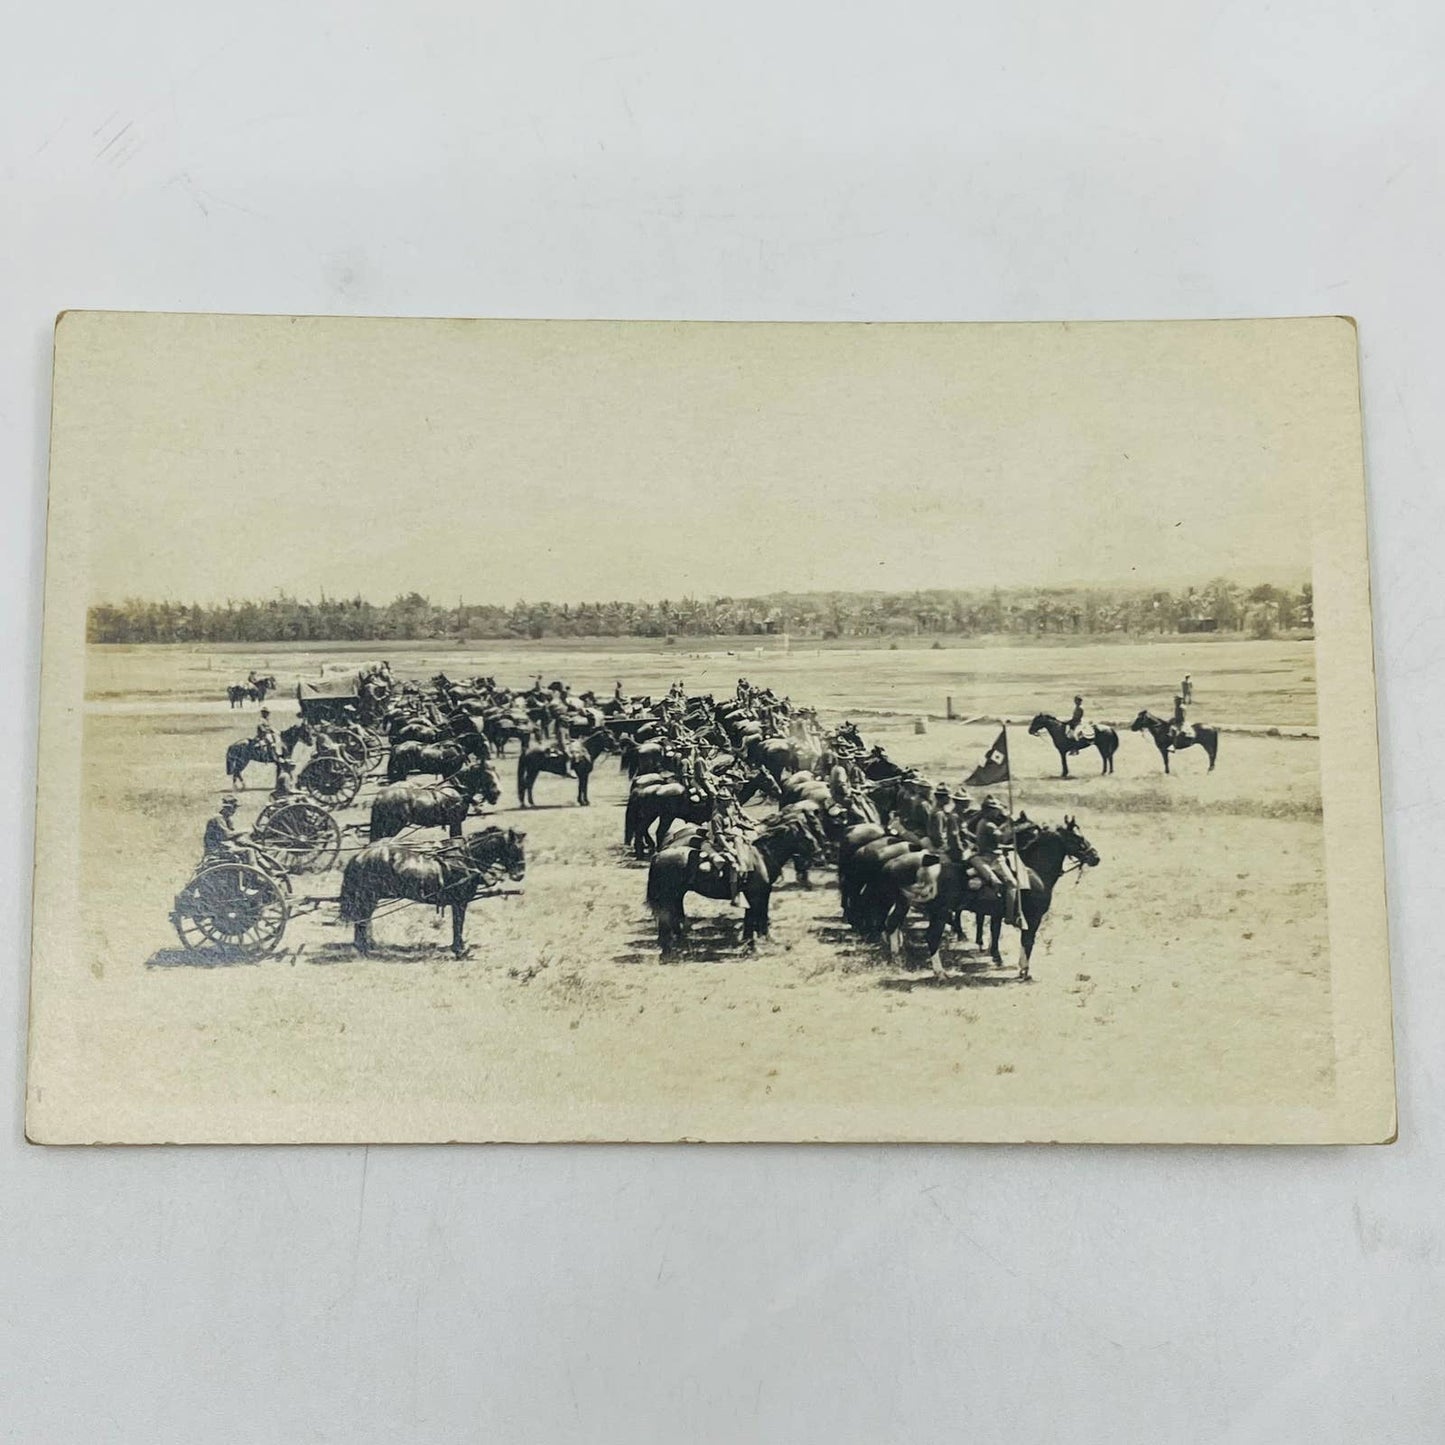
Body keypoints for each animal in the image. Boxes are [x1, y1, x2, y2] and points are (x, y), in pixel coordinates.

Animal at [335, 826, 528, 959]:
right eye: (514, 849)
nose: (520, 875)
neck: (465, 858)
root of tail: (360, 855)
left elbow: (458, 924)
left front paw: (459, 947)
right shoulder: (460, 901)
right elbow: (458, 923)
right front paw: (459, 950)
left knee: (363, 919)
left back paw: (365, 946)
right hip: (368, 896)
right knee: (362, 919)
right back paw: (362, 948)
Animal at [369, 757, 505, 843]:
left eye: (497, 774)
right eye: (487, 775)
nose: (497, 793)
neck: (457, 789)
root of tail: (380, 796)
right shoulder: (455, 822)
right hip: (392, 827)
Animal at [644, 814, 826, 959]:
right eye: (807, 838)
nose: (821, 857)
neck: (761, 856)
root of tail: (659, 854)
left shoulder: (761, 894)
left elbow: (755, 918)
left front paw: (758, 942)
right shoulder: (755, 895)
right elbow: (754, 918)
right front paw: (753, 947)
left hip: (676, 895)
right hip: (667, 897)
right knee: (666, 919)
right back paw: (668, 950)